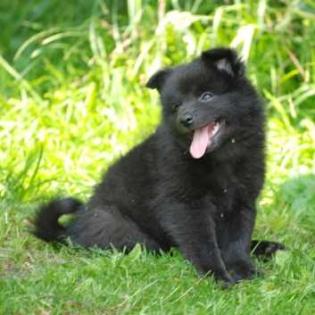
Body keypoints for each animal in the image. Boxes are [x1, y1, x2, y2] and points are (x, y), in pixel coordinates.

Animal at [34, 48, 284, 286]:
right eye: (176, 105)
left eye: (207, 96)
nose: (185, 119)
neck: (220, 157)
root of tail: (71, 231)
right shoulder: (185, 205)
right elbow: (203, 244)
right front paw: (217, 275)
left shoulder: (241, 201)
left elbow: (236, 242)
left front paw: (244, 270)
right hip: (120, 228)